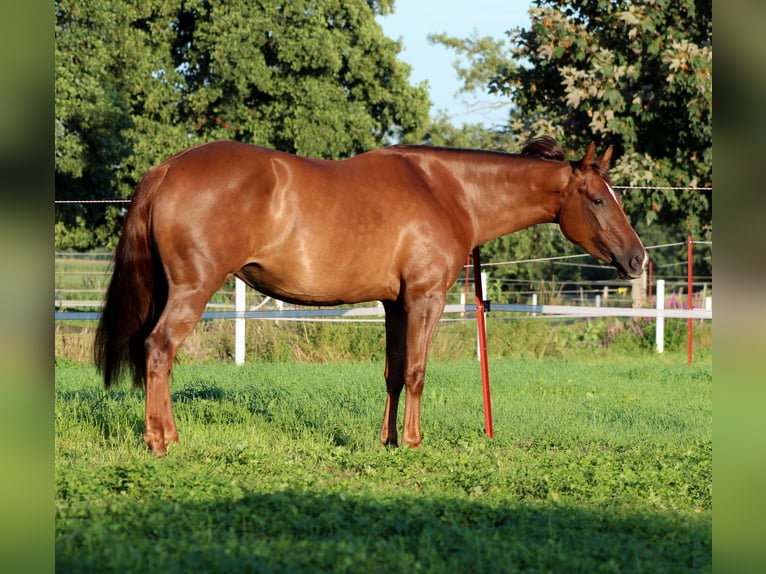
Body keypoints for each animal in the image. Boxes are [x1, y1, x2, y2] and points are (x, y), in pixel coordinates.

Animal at [94, 136, 646, 456]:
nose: (639, 259)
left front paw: (389, 440)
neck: (447, 192)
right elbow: (418, 372)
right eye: (598, 199)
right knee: (159, 349)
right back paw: (161, 441)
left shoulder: (393, 303)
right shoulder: (425, 299)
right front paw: (416, 443)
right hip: (193, 290)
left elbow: (393, 373)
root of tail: (169, 167)